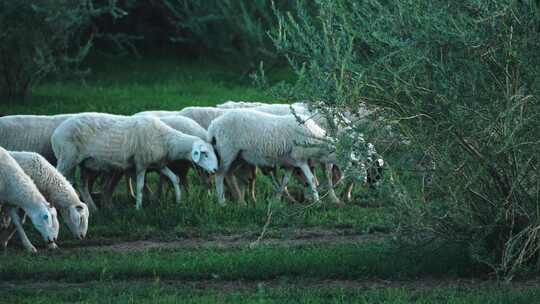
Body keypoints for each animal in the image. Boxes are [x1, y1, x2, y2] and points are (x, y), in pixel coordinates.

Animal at [51, 113, 218, 210]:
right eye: (205, 154)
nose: (215, 170)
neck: (167, 141)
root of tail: (55, 133)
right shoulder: (141, 163)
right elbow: (140, 186)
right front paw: (138, 207)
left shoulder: (158, 164)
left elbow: (174, 178)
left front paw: (178, 200)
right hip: (67, 158)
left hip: (86, 164)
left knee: (82, 185)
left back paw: (93, 209)